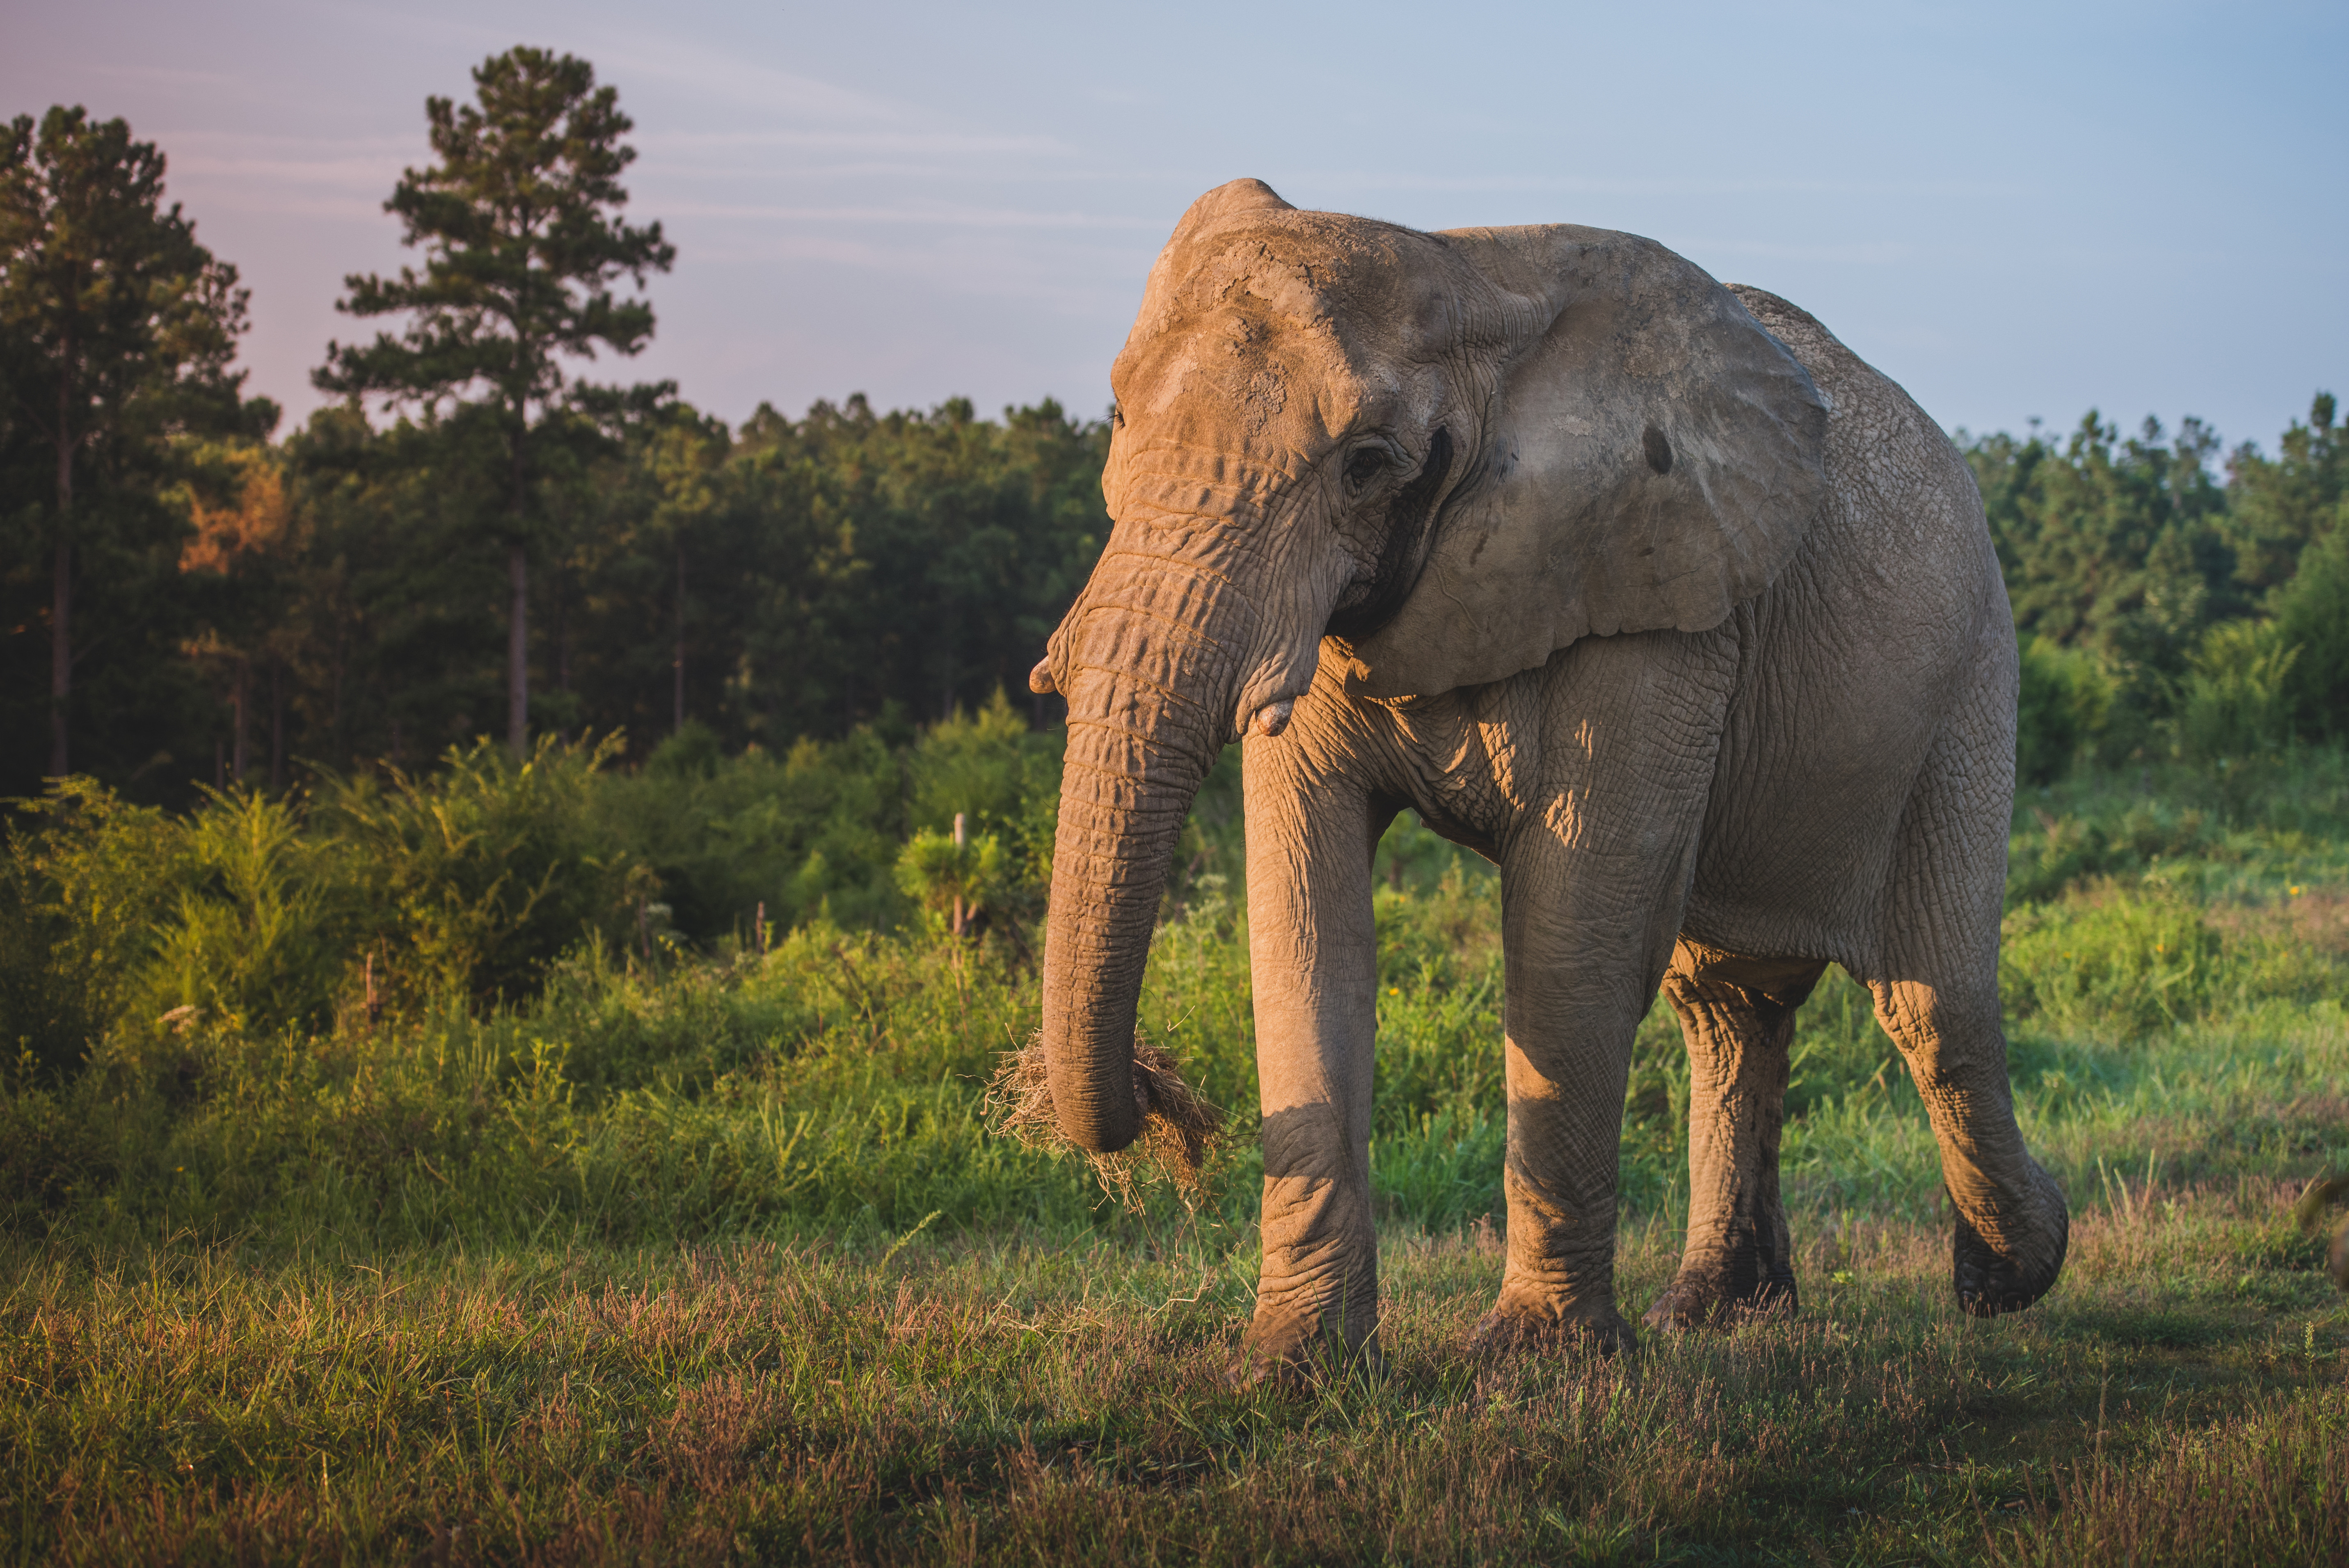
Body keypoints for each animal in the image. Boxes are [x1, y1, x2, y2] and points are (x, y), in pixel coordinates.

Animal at [1027, 177, 2068, 1373]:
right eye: (1116, 421)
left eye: (1368, 462)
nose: (1159, 1098)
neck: (1468, 281)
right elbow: (1303, 917)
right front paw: (1295, 1363)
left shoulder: (1653, 592)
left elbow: (1575, 927)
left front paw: (1532, 1363)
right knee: (1728, 1007)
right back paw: (1715, 1310)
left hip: (1966, 684)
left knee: (1932, 1007)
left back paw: (2010, 1275)